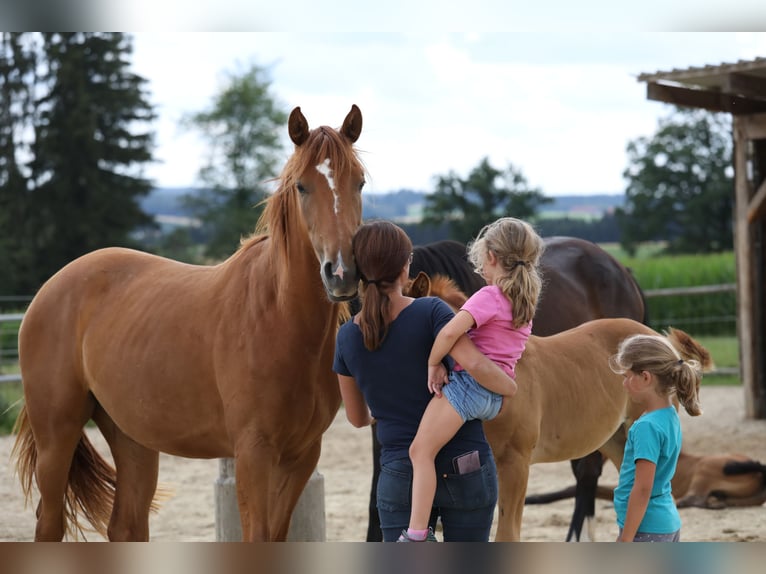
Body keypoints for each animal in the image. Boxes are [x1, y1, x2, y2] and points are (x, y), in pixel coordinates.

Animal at [12, 104, 365, 541]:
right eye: (302, 186)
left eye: (360, 183)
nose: (342, 273)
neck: (279, 318)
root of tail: (49, 289)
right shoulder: (253, 453)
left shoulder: (301, 456)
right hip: (56, 435)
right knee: (50, 522)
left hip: (132, 437)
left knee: (126, 525)